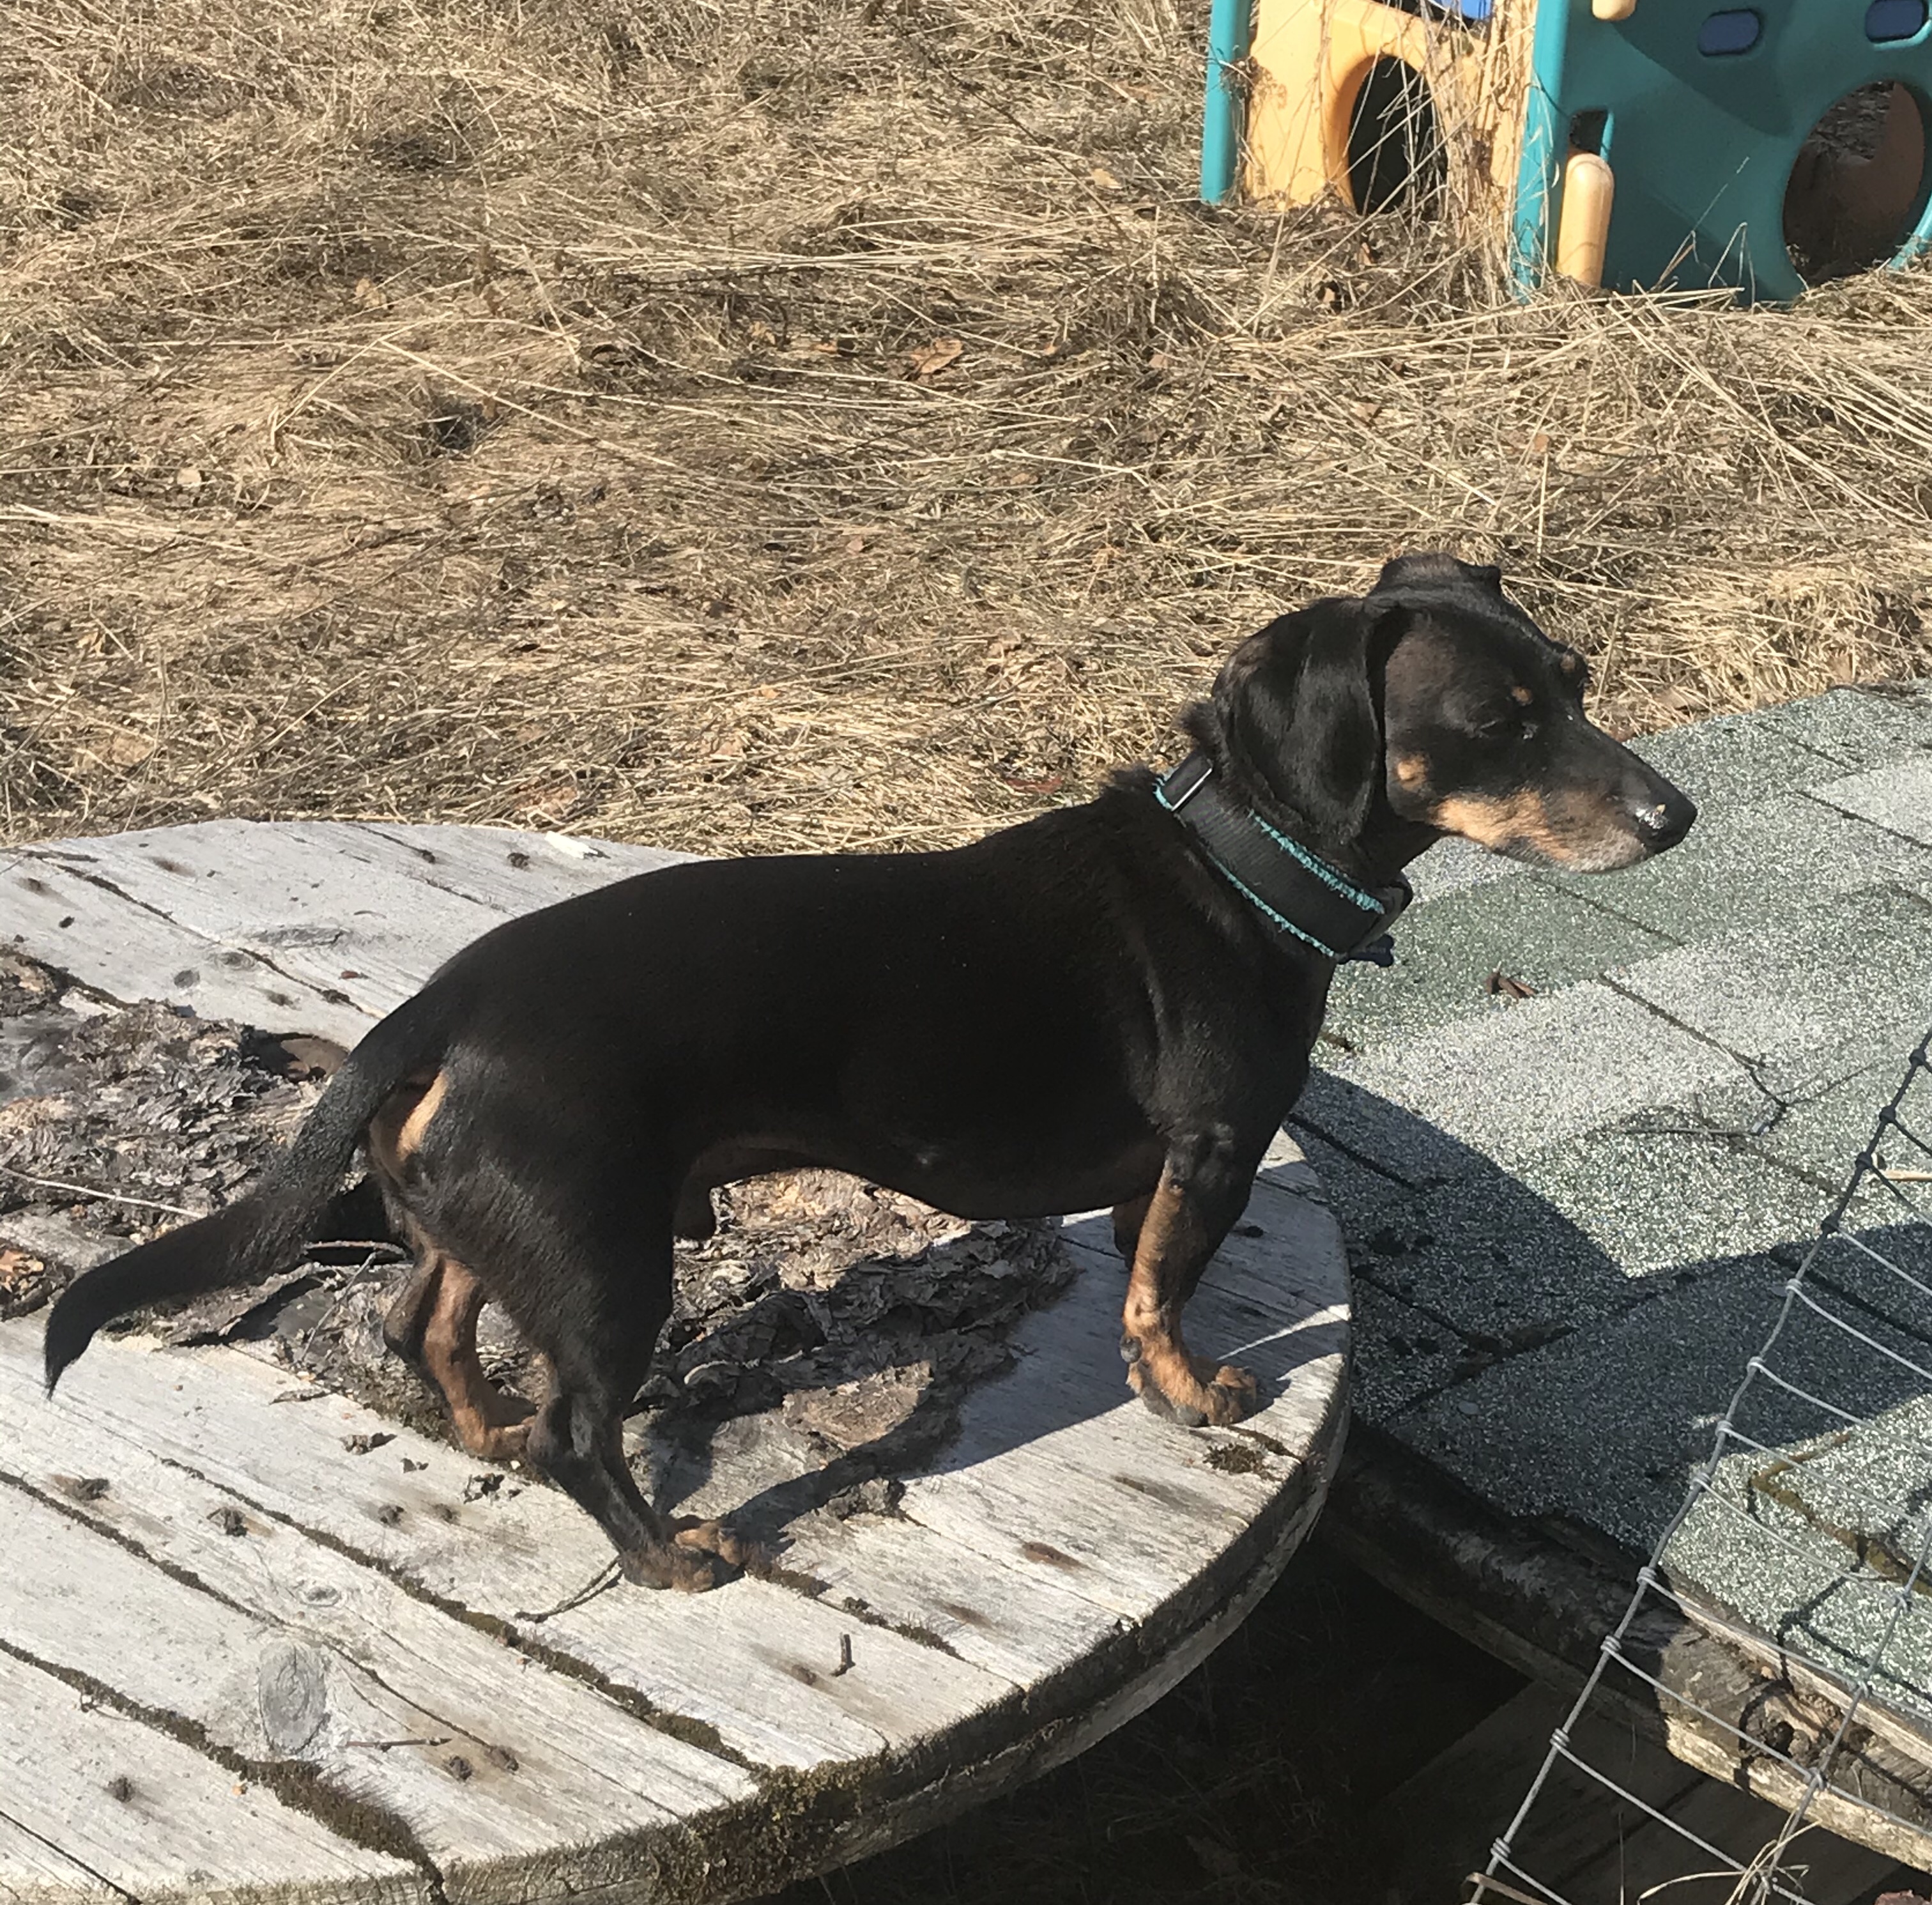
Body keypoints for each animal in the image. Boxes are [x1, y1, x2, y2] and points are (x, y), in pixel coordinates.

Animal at [44, 554, 1696, 1590]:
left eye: (1580, 679)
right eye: (1499, 723)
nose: (1675, 817)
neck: (1236, 861)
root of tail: (435, 1009)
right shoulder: (1212, 1146)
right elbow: (1162, 1295)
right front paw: (1192, 1393)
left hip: (499, 1222)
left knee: (421, 1322)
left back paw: (488, 1430)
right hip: (607, 1255)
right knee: (582, 1424)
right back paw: (666, 1552)